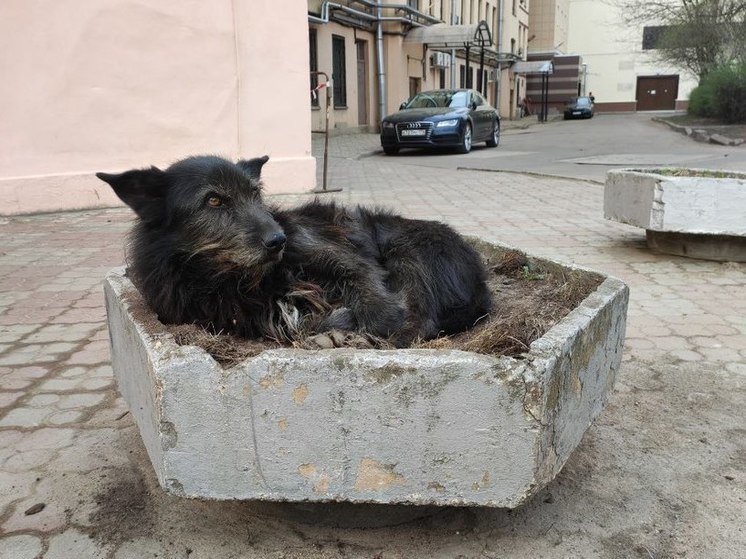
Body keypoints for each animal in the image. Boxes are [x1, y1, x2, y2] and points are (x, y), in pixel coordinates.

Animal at [99, 153, 492, 346]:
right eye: (213, 200)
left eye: (255, 194)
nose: (278, 240)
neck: (239, 279)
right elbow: (293, 324)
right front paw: (333, 327)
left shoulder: (330, 252)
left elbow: (362, 279)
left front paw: (375, 321)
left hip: (404, 247)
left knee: (422, 318)